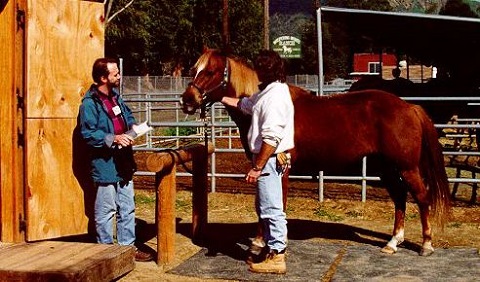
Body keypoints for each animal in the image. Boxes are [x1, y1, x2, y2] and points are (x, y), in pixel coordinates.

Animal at [182, 48, 452, 256]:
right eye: (194, 69)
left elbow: (274, 204)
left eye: (210, 71)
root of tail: (409, 107)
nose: (187, 100)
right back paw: (393, 243)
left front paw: (262, 243)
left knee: (421, 197)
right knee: (399, 198)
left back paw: (426, 245)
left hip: (407, 167)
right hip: (385, 168)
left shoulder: (278, 168)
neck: (263, 105)